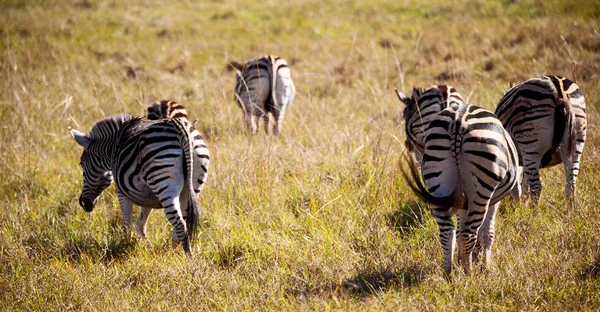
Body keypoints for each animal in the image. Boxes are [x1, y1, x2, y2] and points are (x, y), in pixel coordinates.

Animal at [69, 113, 206, 258]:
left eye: (81, 163)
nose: (83, 203)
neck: (112, 147)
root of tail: (180, 127)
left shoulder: (121, 191)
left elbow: (127, 222)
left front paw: (124, 247)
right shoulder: (148, 193)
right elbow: (140, 224)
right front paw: (148, 249)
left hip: (163, 182)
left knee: (180, 225)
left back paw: (188, 260)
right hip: (191, 184)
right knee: (181, 225)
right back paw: (170, 253)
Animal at [398, 103, 520, 276]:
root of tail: (458, 121)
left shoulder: (461, 201)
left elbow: (460, 230)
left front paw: (460, 262)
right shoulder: (493, 201)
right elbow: (487, 233)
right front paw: (486, 267)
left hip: (438, 182)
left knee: (447, 232)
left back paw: (448, 273)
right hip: (481, 188)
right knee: (469, 233)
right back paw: (470, 274)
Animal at [494, 75, 588, 205]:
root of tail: (560, 94)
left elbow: (517, 187)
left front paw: (518, 206)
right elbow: (524, 185)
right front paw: (522, 204)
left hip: (530, 144)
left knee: (537, 187)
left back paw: (534, 211)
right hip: (576, 144)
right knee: (571, 186)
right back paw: (571, 210)